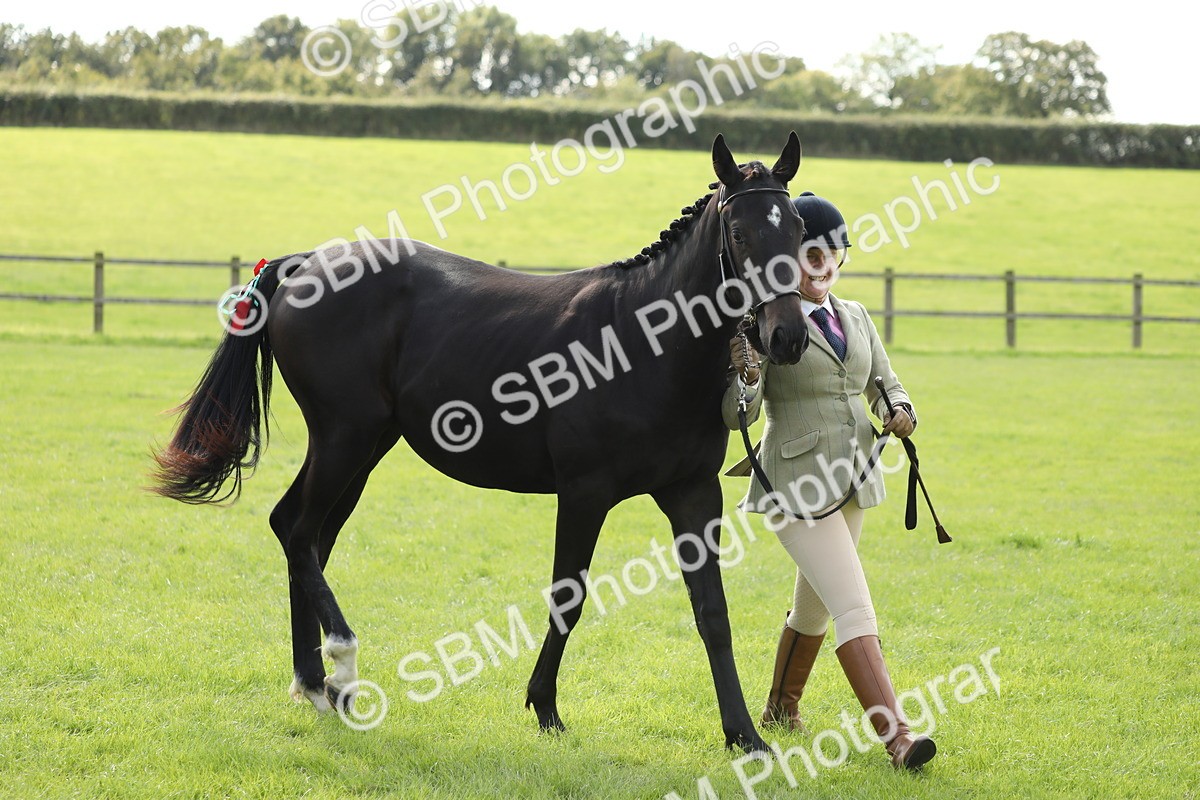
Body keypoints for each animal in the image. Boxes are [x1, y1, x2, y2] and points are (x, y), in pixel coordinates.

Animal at [152, 132, 811, 752]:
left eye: (800, 230)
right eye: (740, 232)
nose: (787, 337)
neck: (643, 342)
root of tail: (307, 262)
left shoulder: (692, 495)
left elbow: (712, 613)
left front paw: (744, 736)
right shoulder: (584, 492)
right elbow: (568, 596)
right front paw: (545, 707)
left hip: (363, 448)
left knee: (308, 537)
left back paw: (316, 683)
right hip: (344, 437)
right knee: (295, 529)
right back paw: (338, 664)